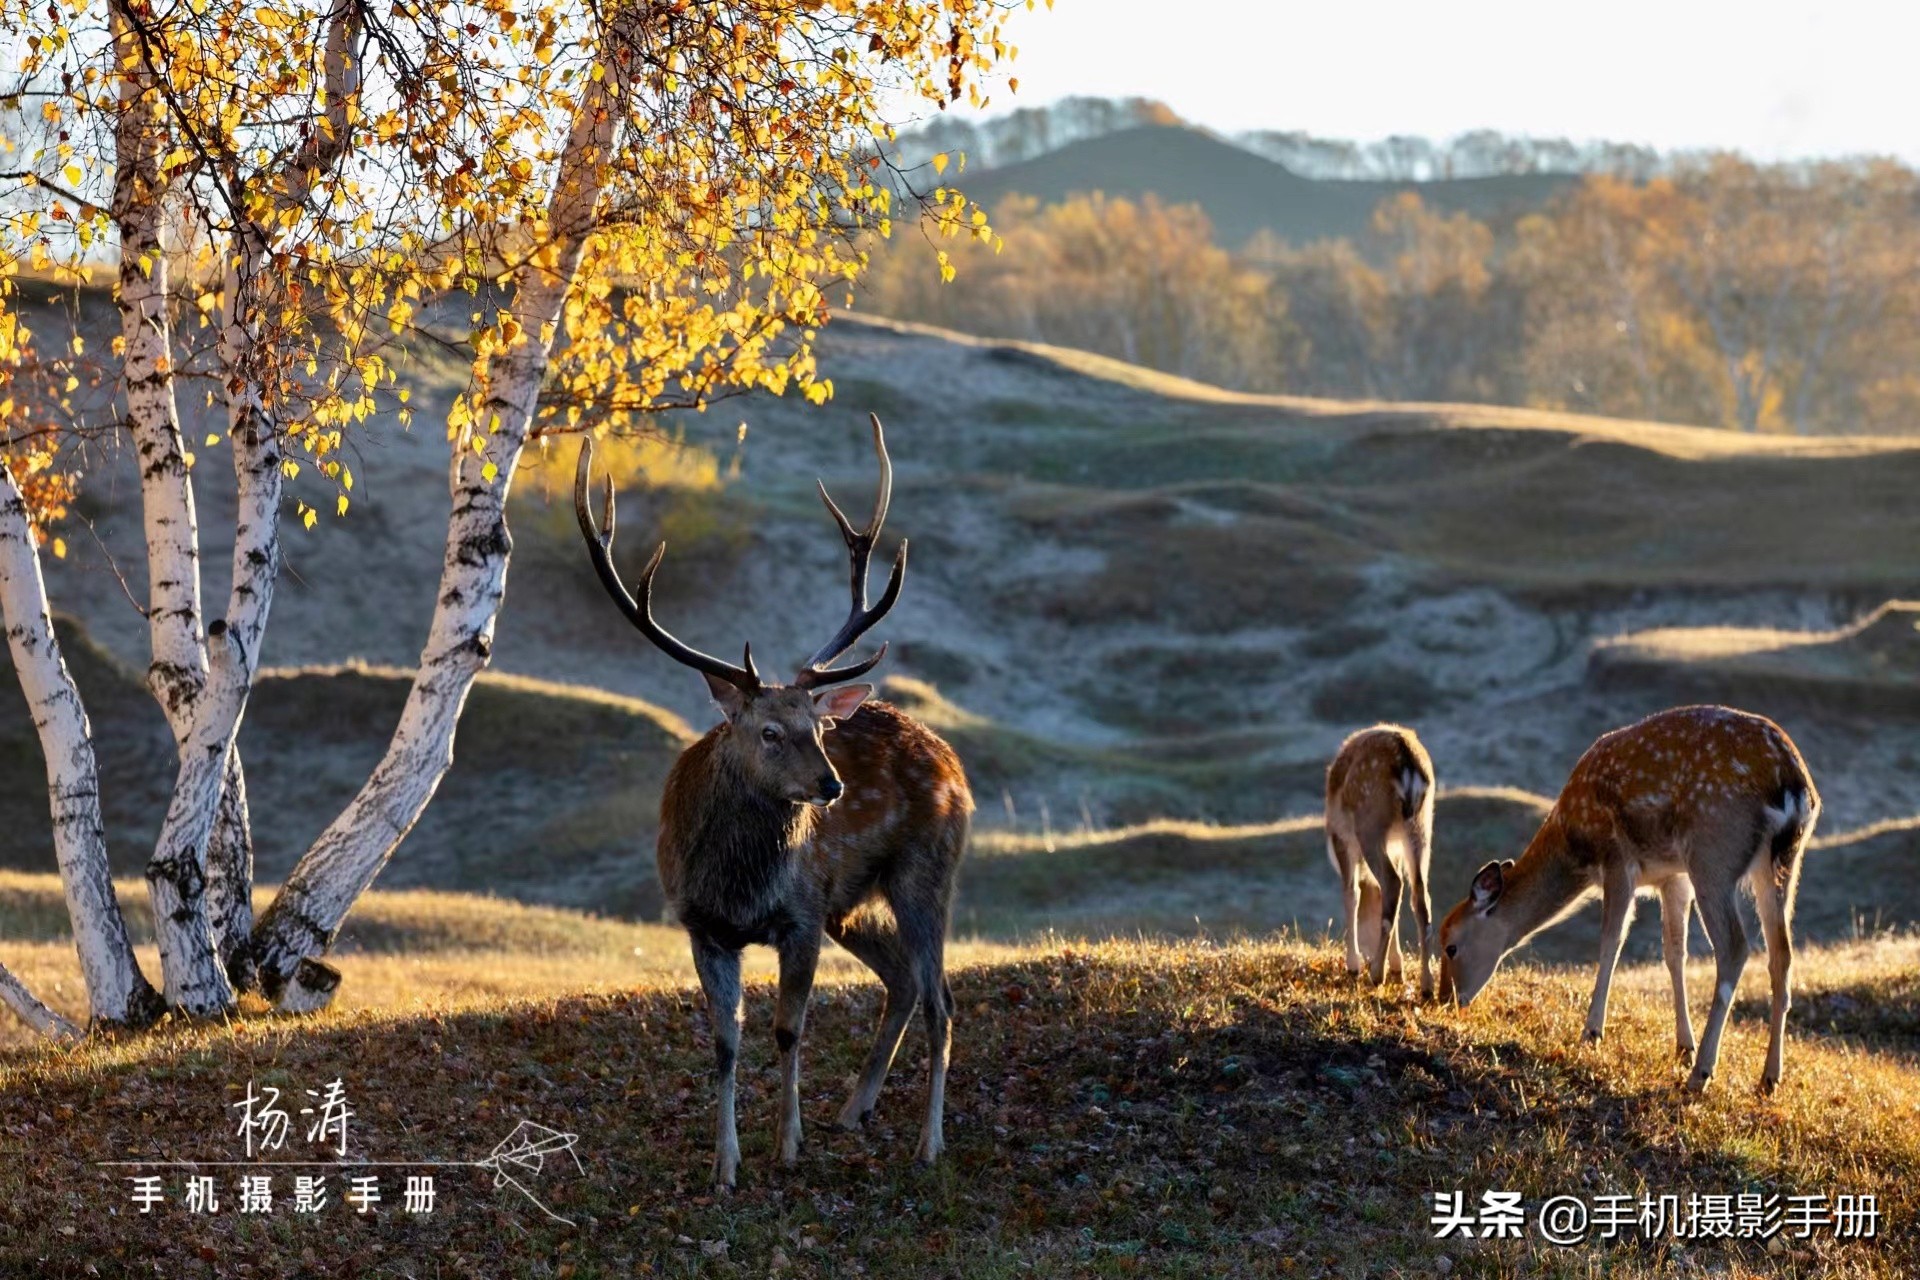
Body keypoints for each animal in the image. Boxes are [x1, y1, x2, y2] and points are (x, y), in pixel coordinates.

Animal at [572, 416, 975, 1189]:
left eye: (818, 728)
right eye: (768, 731)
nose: (832, 787)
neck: (740, 886)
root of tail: (951, 761)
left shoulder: (800, 914)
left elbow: (789, 1029)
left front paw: (786, 1145)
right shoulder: (700, 924)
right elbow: (724, 1043)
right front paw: (724, 1164)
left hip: (925, 871)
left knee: (941, 998)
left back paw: (929, 1142)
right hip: (851, 901)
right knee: (903, 978)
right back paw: (853, 1109)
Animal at [1328, 725, 1436, 997]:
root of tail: (1409, 769)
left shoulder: (1341, 837)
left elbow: (1351, 893)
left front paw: (1353, 965)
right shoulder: (1395, 849)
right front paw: (1398, 967)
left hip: (1369, 824)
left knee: (1393, 883)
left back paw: (1376, 973)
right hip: (1421, 826)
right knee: (1419, 893)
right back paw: (1426, 984)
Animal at [1443, 706, 1812, 1097]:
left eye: (1450, 946)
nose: (1443, 998)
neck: (1575, 844)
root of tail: (1792, 783)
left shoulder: (1617, 858)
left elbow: (1612, 939)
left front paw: (1592, 1032)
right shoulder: (1672, 876)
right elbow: (1674, 951)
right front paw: (1682, 1046)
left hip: (1713, 853)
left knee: (1735, 947)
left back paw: (1701, 1074)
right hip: (1781, 864)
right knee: (1782, 954)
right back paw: (1769, 1077)